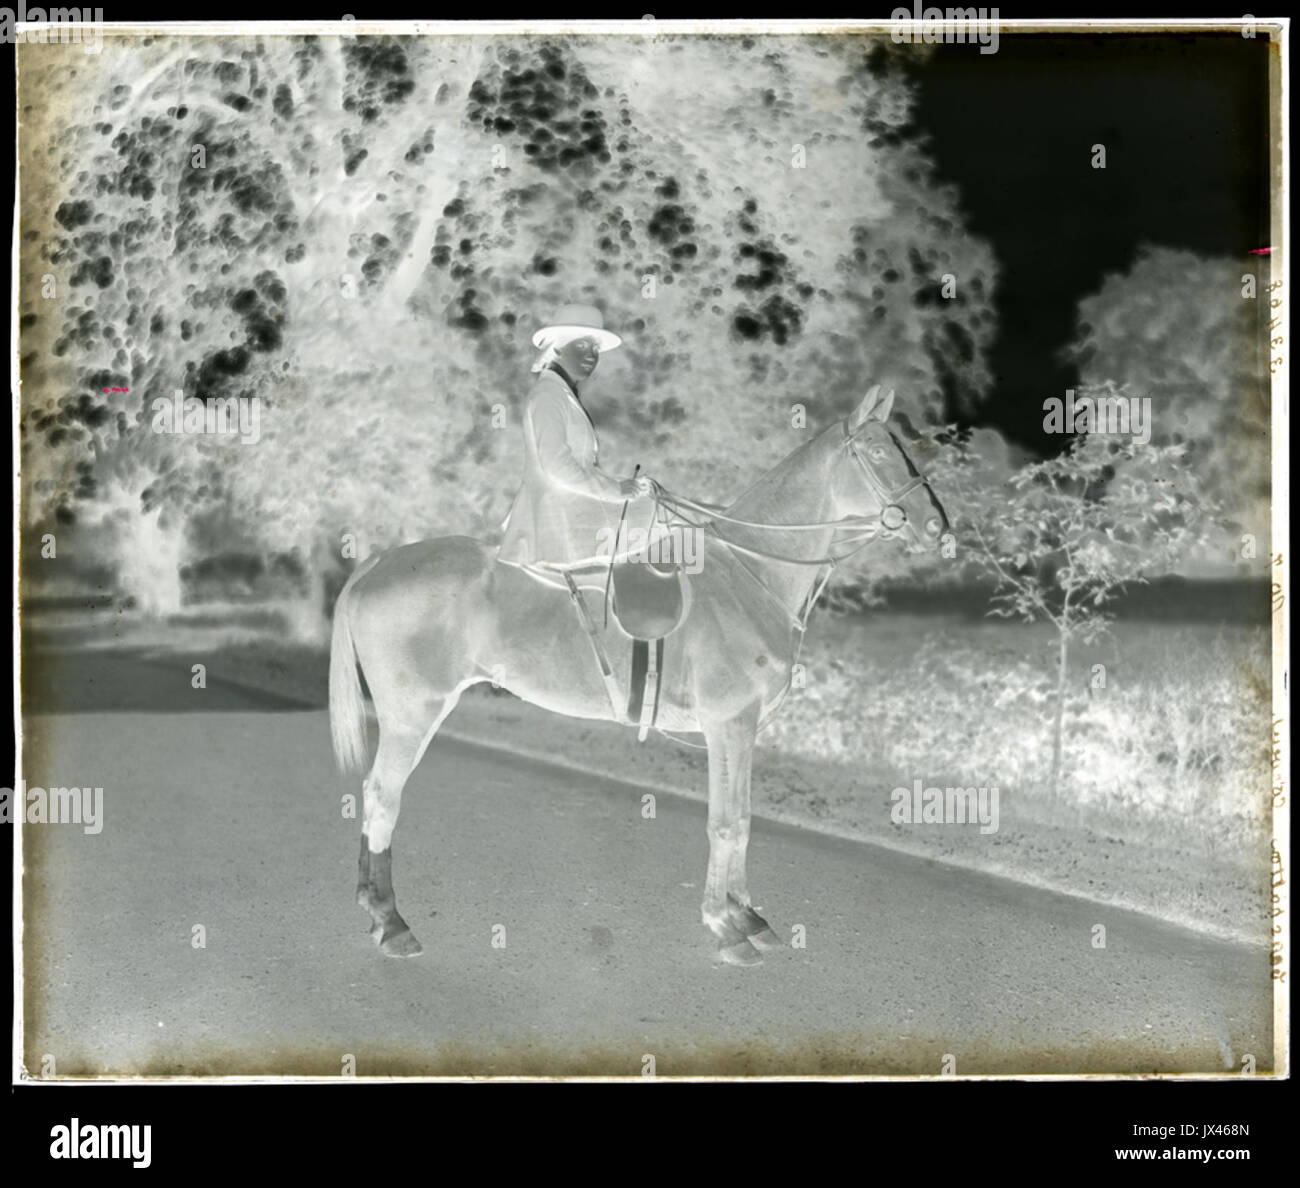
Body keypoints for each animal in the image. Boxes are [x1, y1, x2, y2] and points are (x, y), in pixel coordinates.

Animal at [330, 387, 951, 961]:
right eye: (878, 450)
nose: (938, 528)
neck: (750, 569)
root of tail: (379, 562)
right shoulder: (728, 724)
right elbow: (726, 823)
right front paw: (726, 927)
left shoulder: (743, 729)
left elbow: (744, 819)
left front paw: (747, 917)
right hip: (412, 716)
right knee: (383, 797)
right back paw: (391, 922)